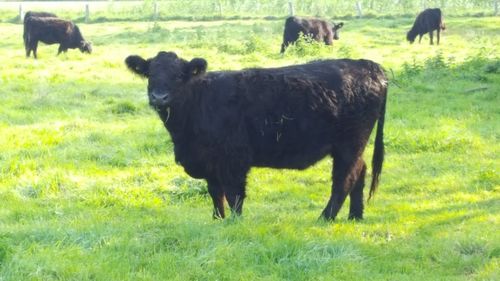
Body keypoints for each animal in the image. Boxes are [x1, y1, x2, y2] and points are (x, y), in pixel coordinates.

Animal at [124, 51, 386, 220]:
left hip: (349, 144)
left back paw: (325, 217)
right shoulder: (209, 162)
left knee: (344, 179)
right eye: (150, 74)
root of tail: (367, 65)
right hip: (354, 147)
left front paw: (234, 222)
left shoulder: (233, 158)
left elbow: (234, 194)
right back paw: (355, 216)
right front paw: (217, 220)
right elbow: (215, 193)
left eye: (179, 76)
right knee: (360, 172)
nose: (159, 97)